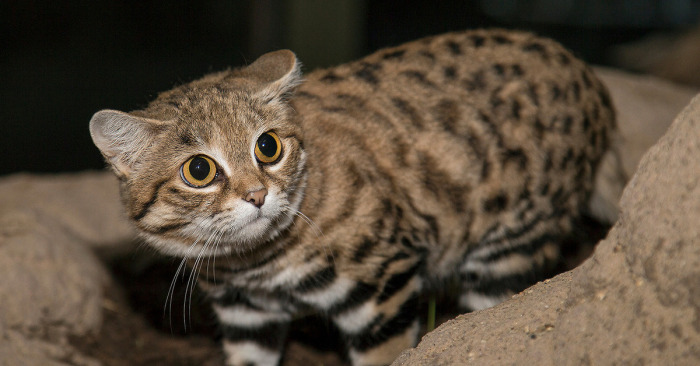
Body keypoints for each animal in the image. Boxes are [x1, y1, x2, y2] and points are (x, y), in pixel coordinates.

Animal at [90, 29, 616, 366]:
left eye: (268, 146)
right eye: (199, 170)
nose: (258, 195)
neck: (252, 263)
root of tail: (590, 78)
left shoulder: (383, 287)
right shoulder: (246, 317)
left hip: (510, 246)